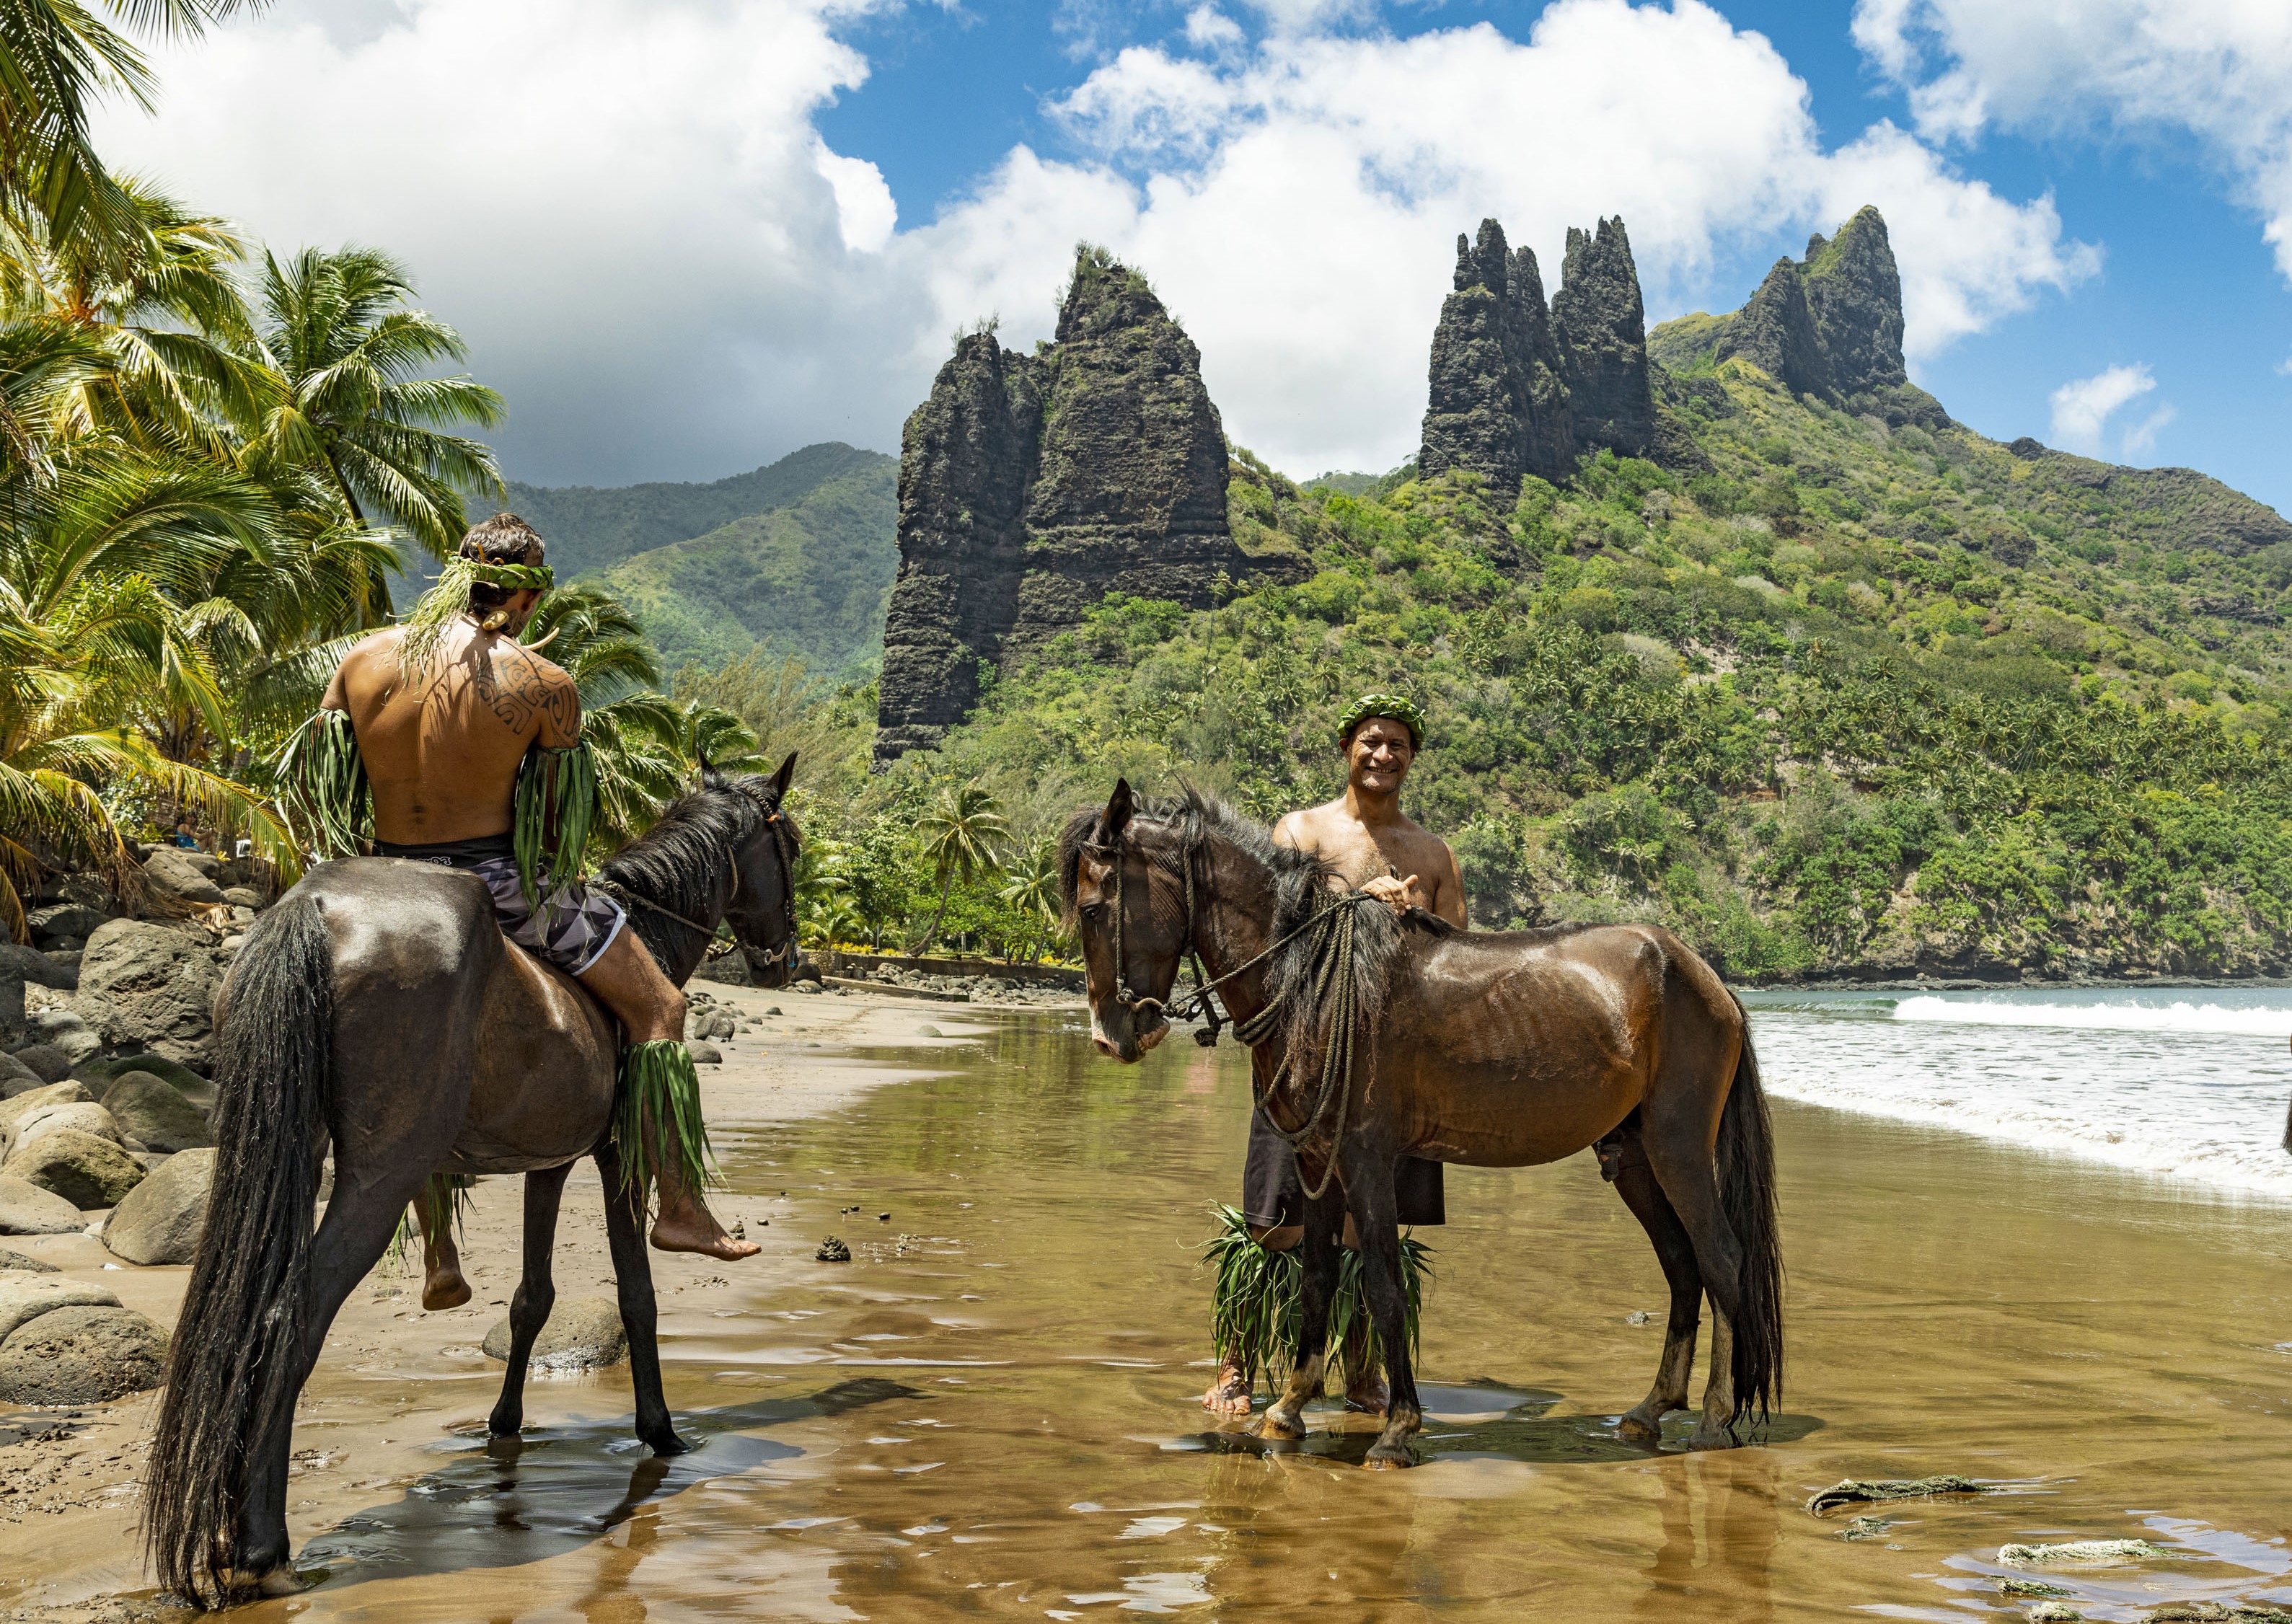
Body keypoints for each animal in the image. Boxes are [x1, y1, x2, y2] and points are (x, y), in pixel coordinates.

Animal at [143, 756, 802, 1594]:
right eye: (793, 846)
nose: (789, 958)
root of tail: (312, 906)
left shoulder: (551, 1161)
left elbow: (532, 1299)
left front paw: (505, 1424)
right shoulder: (616, 1154)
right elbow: (638, 1296)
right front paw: (659, 1430)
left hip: (285, 1143)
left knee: (249, 1308)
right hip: (381, 1171)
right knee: (289, 1318)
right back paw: (263, 1542)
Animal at [1063, 783, 1778, 1465]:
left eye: (1094, 909)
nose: (1108, 1037)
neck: (1314, 981)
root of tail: (1704, 975)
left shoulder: (1364, 1159)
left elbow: (1382, 1285)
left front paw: (1399, 1428)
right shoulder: (1317, 1162)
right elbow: (1317, 1279)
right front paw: (1289, 1409)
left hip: (1678, 1148)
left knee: (1721, 1258)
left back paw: (1714, 1418)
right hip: (1631, 1158)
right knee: (1682, 1265)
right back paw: (1652, 1408)